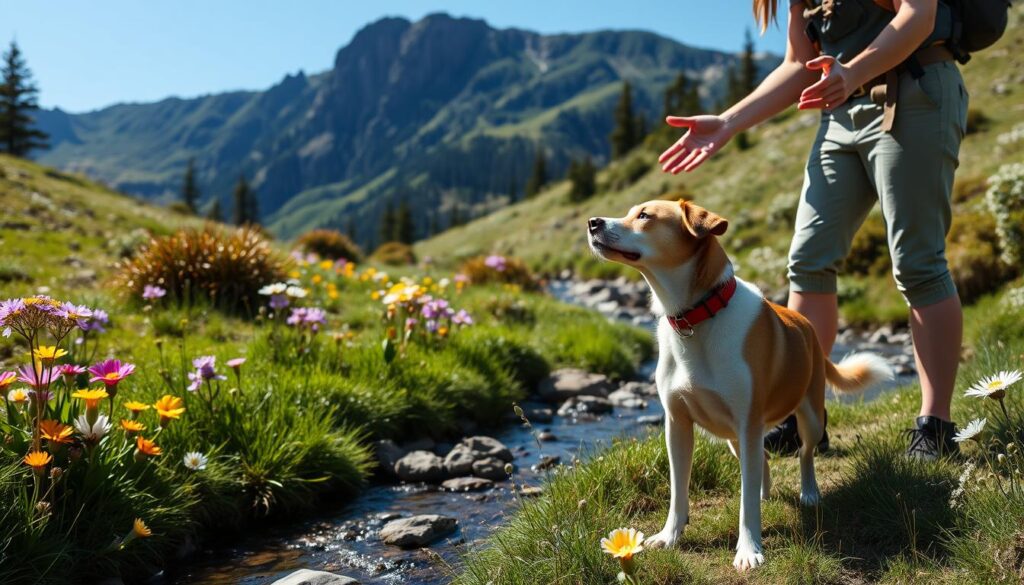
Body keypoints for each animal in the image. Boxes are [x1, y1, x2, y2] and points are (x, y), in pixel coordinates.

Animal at [589, 200, 892, 573]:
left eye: (644, 216)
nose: (593, 222)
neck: (696, 315)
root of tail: (807, 325)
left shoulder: (748, 422)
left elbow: (747, 503)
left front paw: (748, 550)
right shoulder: (677, 424)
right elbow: (678, 489)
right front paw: (669, 536)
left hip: (806, 416)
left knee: (805, 452)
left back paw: (808, 492)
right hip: (735, 437)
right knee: (762, 458)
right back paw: (765, 488)